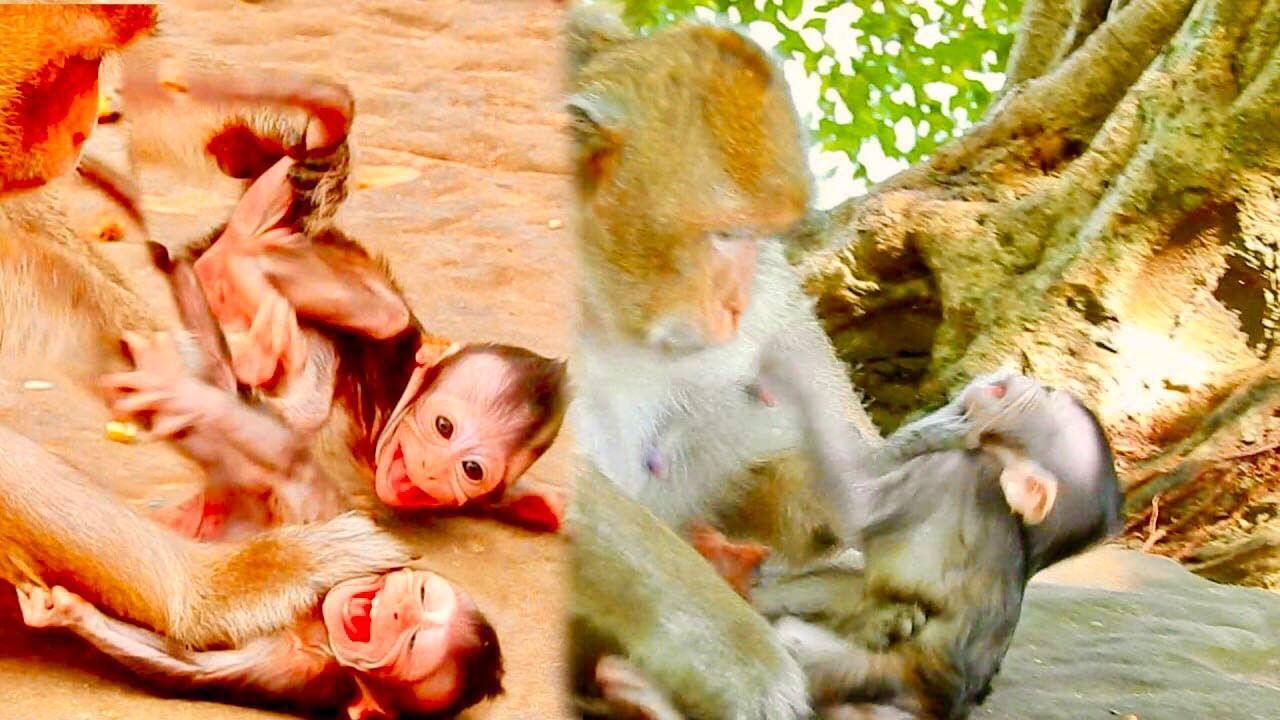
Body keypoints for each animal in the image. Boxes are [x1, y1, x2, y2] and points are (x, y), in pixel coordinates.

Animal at [0, 422, 503, 718]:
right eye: (418, 597)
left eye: (412, 641)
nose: (396, 610)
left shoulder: (301, 670)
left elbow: (192, 666)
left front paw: (68, 613)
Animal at [749, 356, 1124, 720]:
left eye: (1044, 393)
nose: (1020, 377)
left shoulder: (950, 471)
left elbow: (851, 510)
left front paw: (789, 374)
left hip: (863, 672)